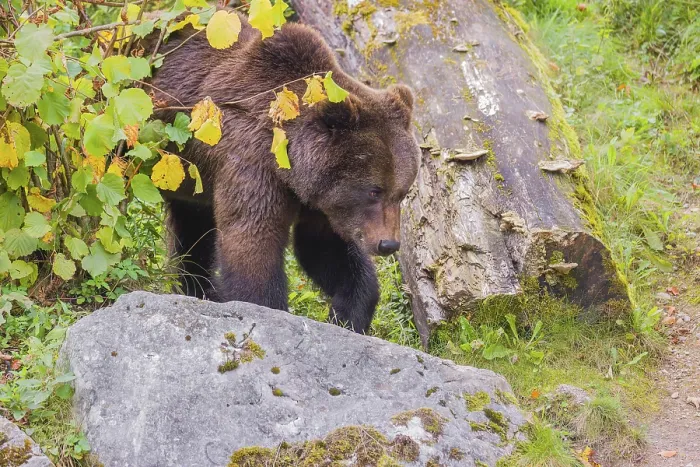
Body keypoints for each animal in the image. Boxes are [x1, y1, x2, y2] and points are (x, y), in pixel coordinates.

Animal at [144, 9, 420, 334]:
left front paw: (347, 314)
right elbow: (253, 241)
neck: (291, 166)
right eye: (373, 191)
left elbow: (325, 249)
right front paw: (264, 307)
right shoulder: (252, 162)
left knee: (193, 227)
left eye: (401, 193)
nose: (388, 243)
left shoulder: (320, 201)